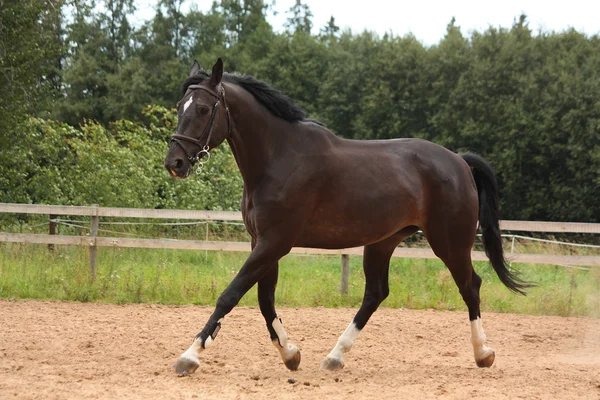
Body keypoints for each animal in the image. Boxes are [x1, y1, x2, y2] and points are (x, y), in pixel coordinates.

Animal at [163, 58, 528, 376]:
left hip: (449, 243)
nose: (174, 163)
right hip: (383, 242)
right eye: (180, 107)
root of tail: (459, 161)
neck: (278, 158)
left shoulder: (274, 242)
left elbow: (231, 294)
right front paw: (291, 355)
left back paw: (484, 354)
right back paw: (335, 356)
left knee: (470, 286)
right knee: (376, 294)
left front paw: (189, 357)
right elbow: (265, 300)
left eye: (203, 109)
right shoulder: (262, 242)